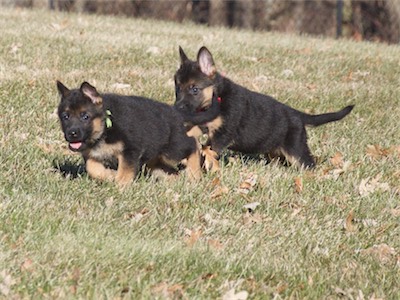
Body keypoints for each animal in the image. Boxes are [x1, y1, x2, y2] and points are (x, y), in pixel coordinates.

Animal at [56, 81, 216, 186]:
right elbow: (92, 169)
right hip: (155, 159)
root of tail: (176, 112)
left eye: (85, 116)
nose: (72, 134)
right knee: (169, 171)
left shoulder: (130, 150)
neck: (105, 128)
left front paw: (121, 185)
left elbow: (125, 171)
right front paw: (109, 176)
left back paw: (194, 175)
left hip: (172, 151)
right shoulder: (91, 155)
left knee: (192, 145)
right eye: (65, 116)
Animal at [173, 47, 354, 169]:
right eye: (177, 88)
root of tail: (297, 114)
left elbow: (207, 150)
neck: (217, 97)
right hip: (276, 152)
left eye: (194, 89)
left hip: (296, 149)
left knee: (308, 163)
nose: (177, 108)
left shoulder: (221, 135)